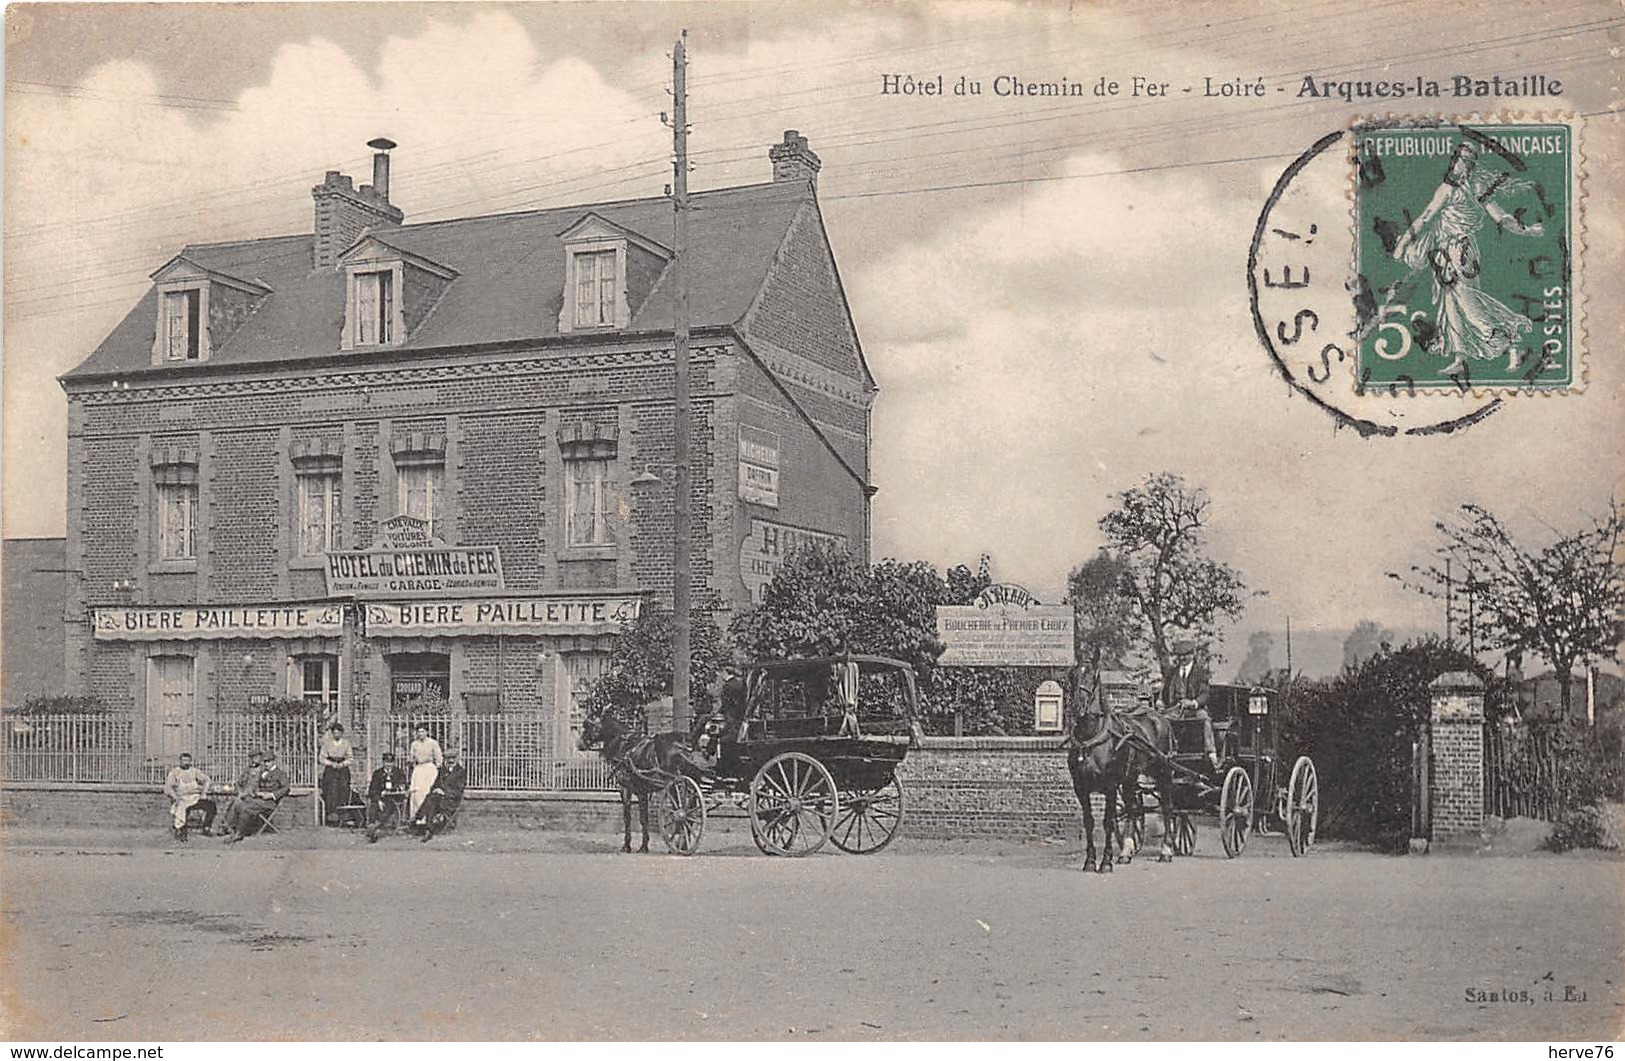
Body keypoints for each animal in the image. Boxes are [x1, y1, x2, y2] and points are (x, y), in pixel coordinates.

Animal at [578, 711, 692, 851]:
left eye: (591, 724)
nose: (579, 743)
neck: (624, 747)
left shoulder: (629, 789)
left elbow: (632, 817)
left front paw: (634, 846)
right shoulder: (642, 791)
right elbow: (641, 817)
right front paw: (641, 844)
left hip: (673, 786)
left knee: (682, 811)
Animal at [1059, 679, 1176, 870]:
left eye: (1092, 675)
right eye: (1072, 675)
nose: (1078, 706)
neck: (1090, 735)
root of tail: (1161, 717)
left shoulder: (1111, 786)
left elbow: (1109, 821)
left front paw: (1106, 862)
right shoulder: (1080, 788)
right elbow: (1090, 822)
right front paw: (1090, 861)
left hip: (1163, 773)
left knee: (1167, 807)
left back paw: (1166, 851)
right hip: (1130, 779)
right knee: (1133, 809)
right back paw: (1126, 852)